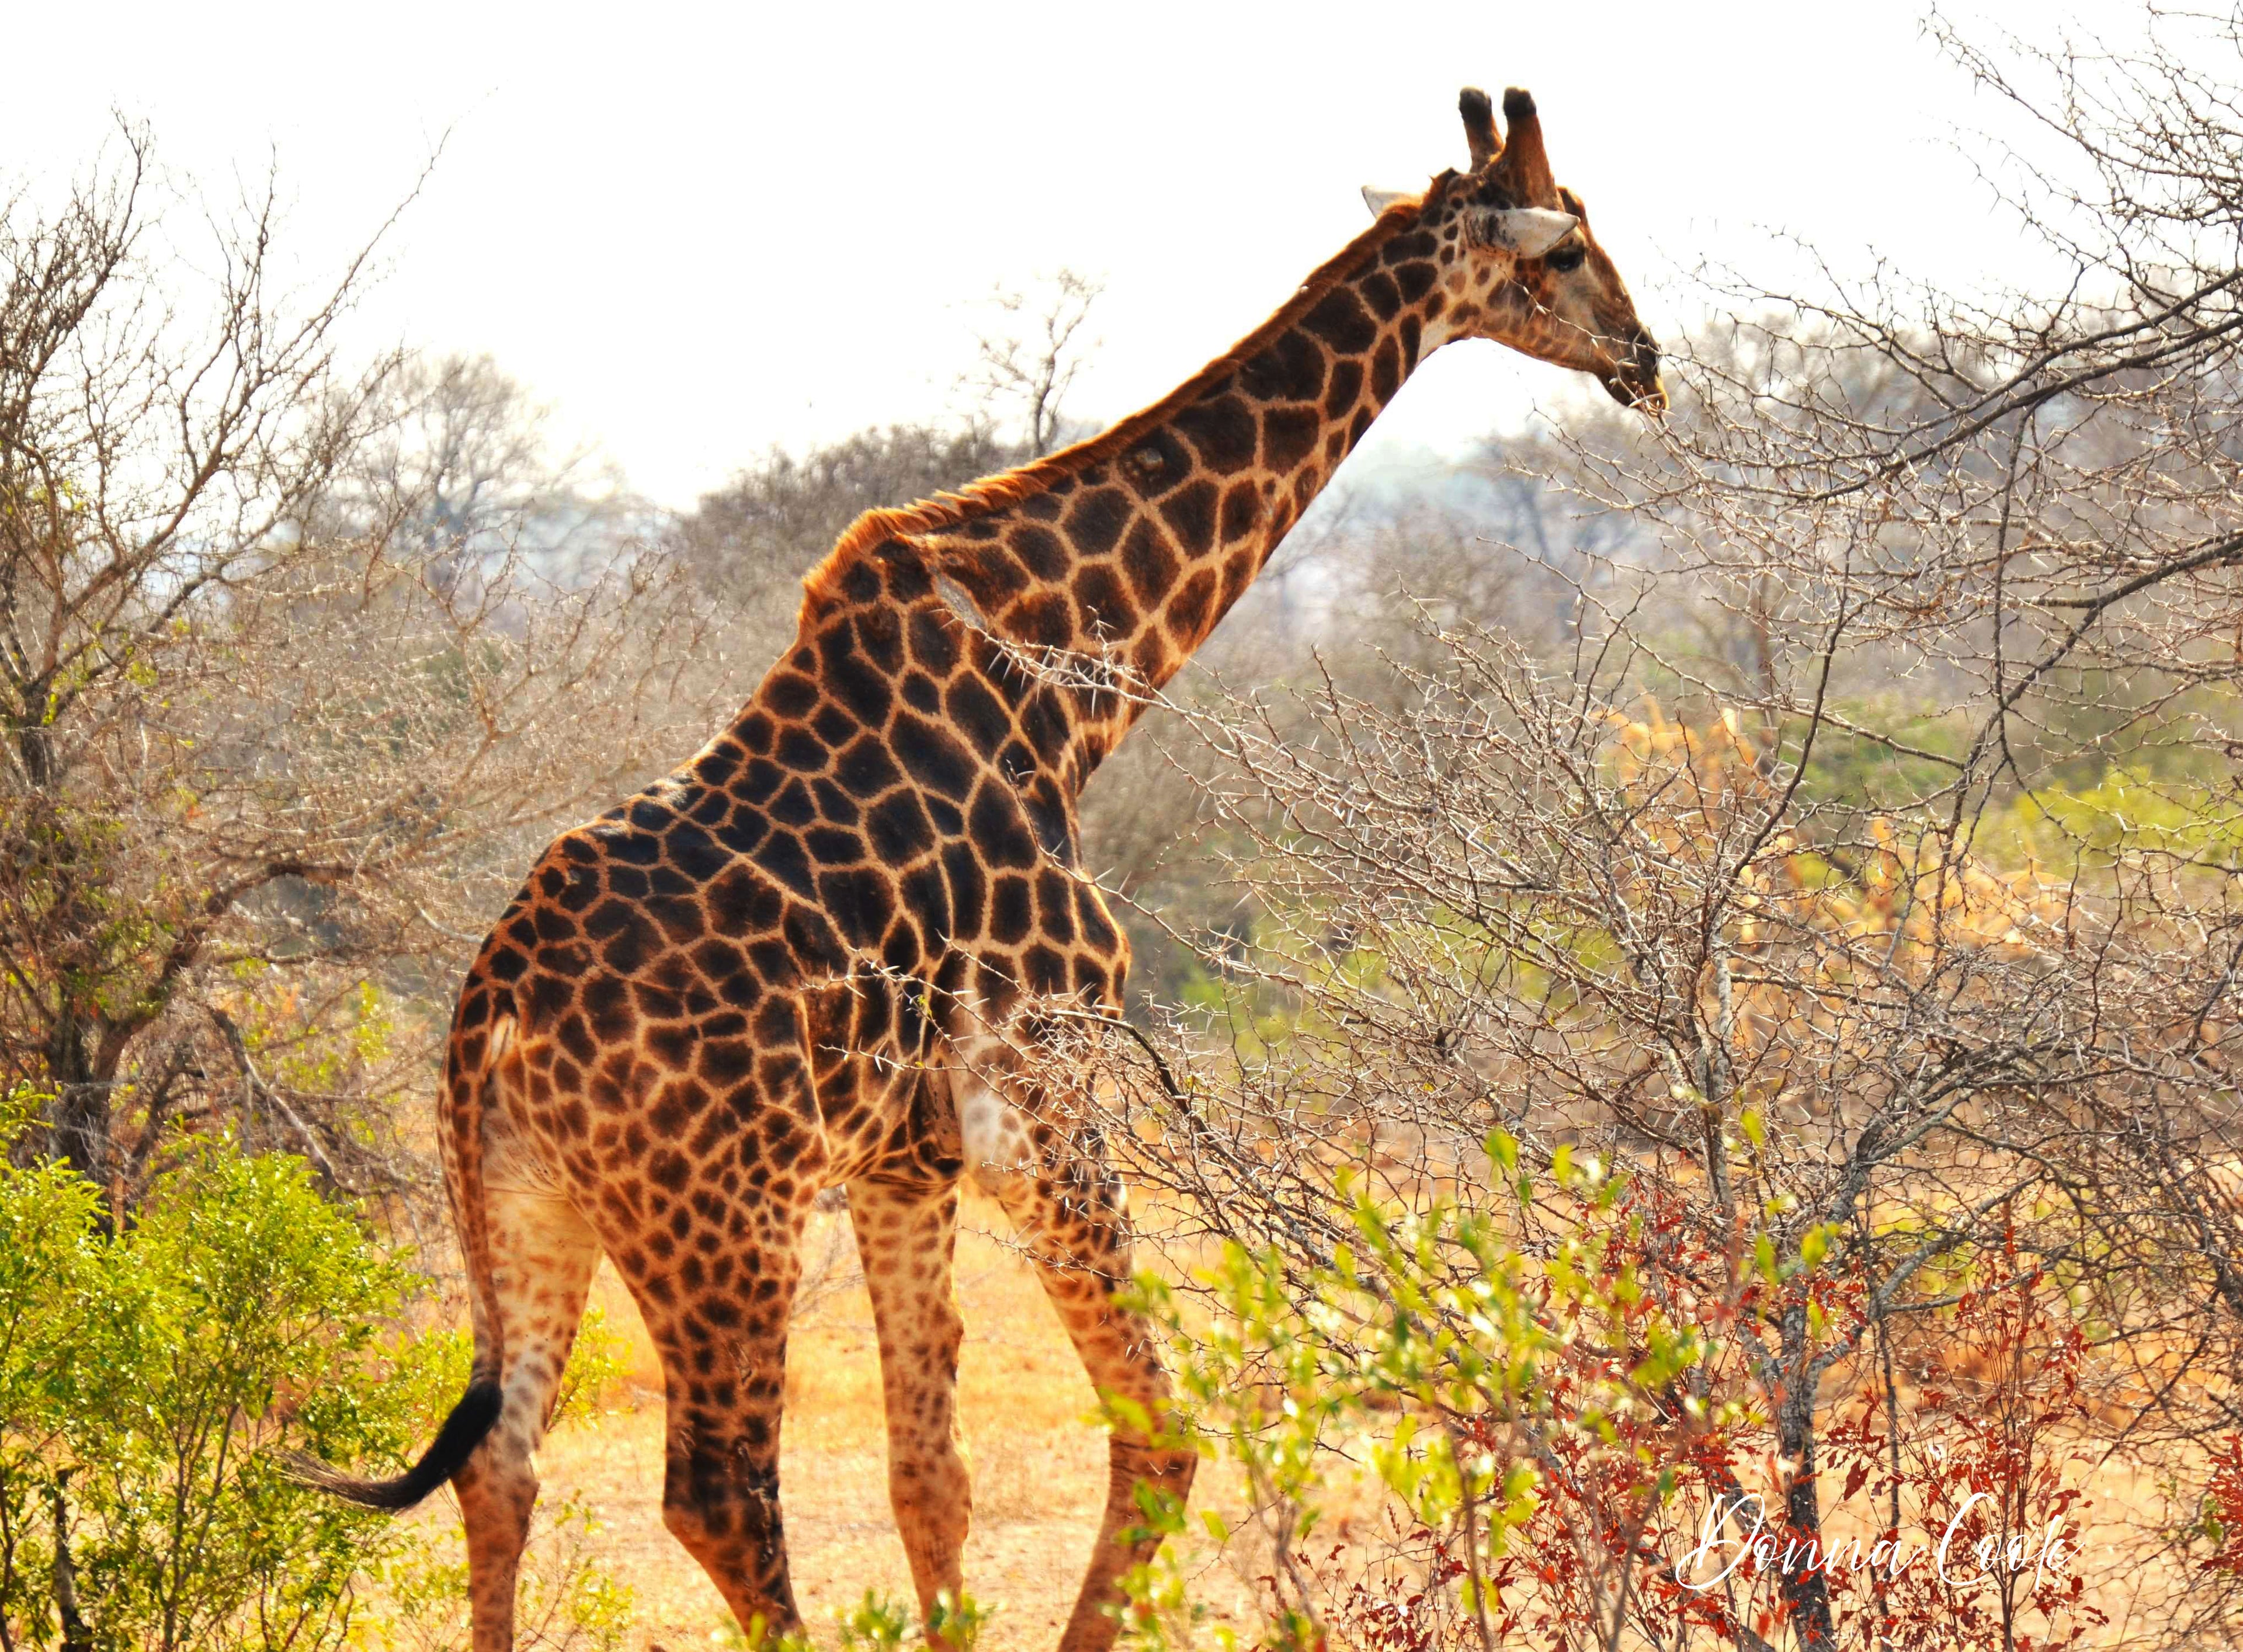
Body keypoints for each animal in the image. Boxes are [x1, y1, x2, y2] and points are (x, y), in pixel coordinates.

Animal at [293, 84, 1663, 1652]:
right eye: (1569, 249)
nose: (1647, 359)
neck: (1070, 690)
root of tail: (493, 1015)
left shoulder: (905, 1153)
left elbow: (929, 1476)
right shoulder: (1040, 1083)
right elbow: (1160, 1431)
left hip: (523, 1204)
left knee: (504, 1467)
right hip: (725, 1222)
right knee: (717, 1493)